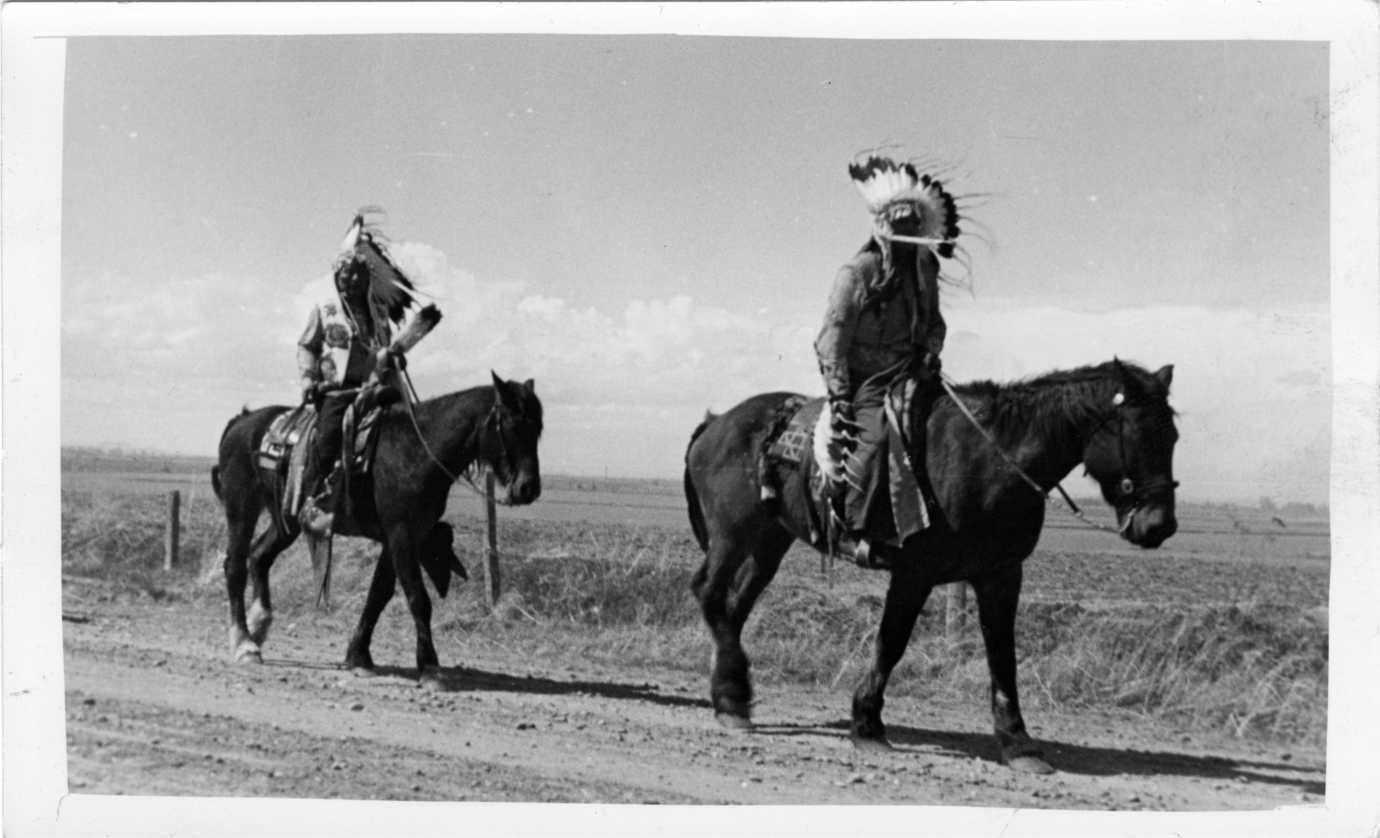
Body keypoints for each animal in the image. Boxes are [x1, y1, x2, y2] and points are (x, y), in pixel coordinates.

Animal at [212, 372, 540, 681]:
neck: (415, 450)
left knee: (259, 556)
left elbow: (378, 595)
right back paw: (244, 643)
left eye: (538, 429)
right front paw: (430, 666)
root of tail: (241, 422)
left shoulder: (400, 536)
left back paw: (259, 624)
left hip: (286, 519)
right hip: (242, 508)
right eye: (512, 425)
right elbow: (418, 598)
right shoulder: (401, 534)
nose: (529, 489)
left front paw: (358, 655)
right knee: (236, 566)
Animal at [684, 358, 1181, 773]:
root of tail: (717, 422)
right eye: (1135, 433)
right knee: (710, 593)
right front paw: (867, 725)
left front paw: (1018, 742)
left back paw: (731, 695)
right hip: (732, 536)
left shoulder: (1001, 576)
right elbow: (891, 642)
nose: (1159, 525)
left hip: (769, 541)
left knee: (735, 606)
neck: (988, 463)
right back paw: (732, 700)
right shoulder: (914, 573)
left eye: (1172, 437)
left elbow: (1003, 655)